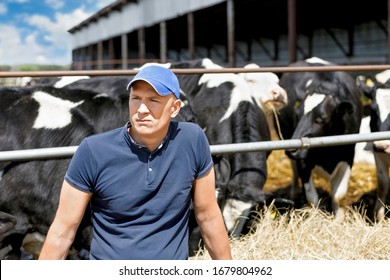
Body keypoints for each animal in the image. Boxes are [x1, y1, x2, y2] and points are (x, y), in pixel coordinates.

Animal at [278, 57, 364, 221]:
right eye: (297, 115)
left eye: (321, 119)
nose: (292, 149)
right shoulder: (304, 161)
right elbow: (312, 197)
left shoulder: (348, 156)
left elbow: (339, 196)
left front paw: (338, 221)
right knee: (294, 171)